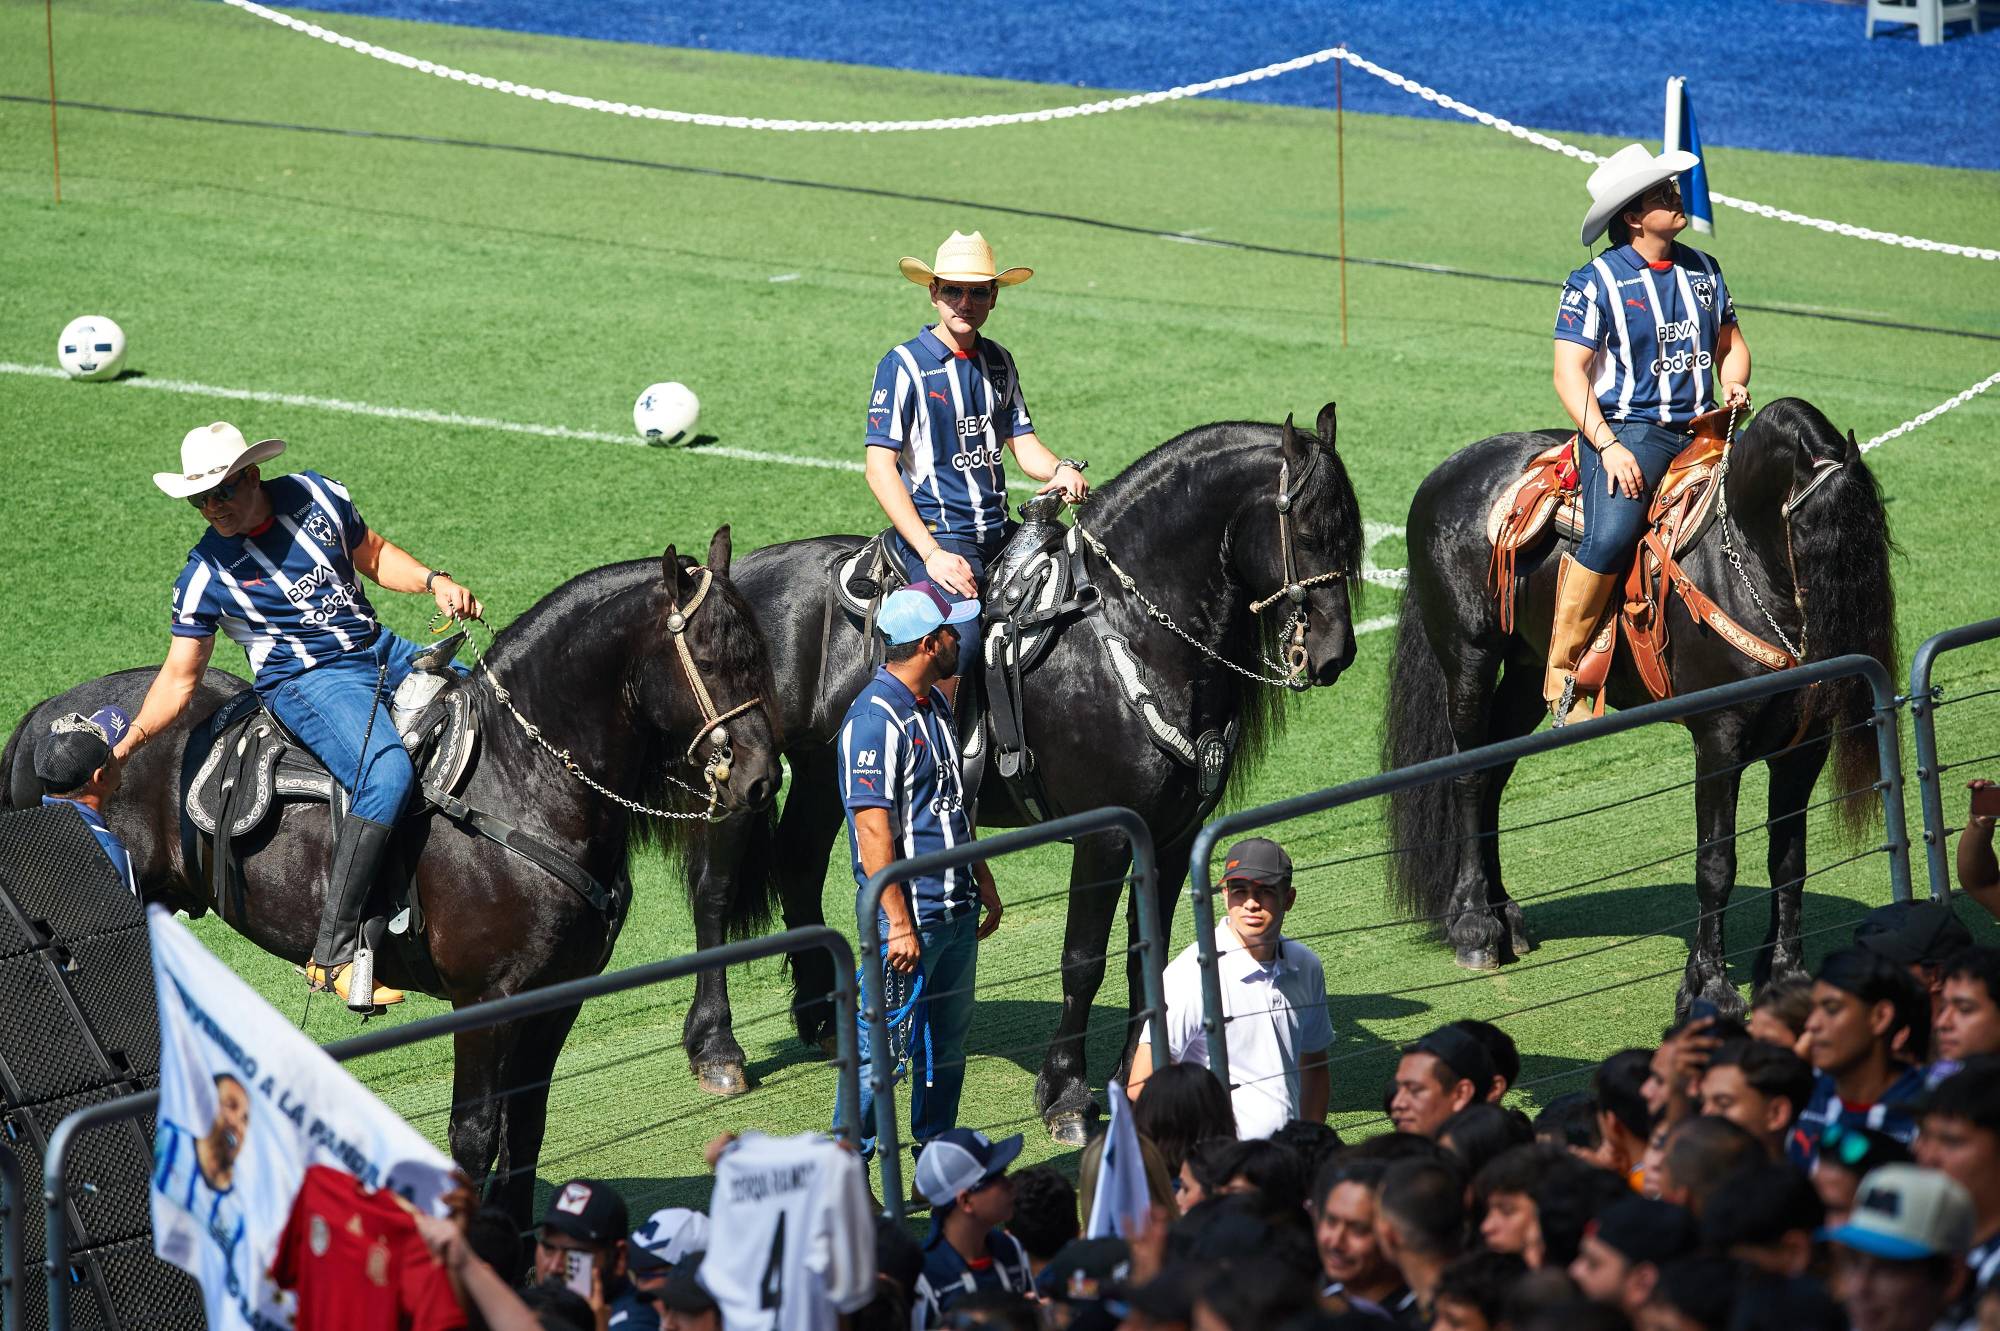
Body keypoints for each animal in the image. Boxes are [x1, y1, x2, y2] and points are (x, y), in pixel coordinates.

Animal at [0, 527, 780, 1215]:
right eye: (711, 658)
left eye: (759, 655)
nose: (761, 779)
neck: (522, 782)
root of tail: (46, 713)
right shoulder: (487, 1001)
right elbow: (475, 1136)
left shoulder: (560, 995)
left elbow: (526, 1130)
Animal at [672, 401, 1360, 1127]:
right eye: (1309, 530)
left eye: (1350, 533)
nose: (1335, 651)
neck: (1130, 632)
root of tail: (733, 578)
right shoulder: (1104, 831)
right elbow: (1084, 958)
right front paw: (1065, 1092)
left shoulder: (1173, 834)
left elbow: (1148, 949)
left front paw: (1139, 1074)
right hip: (742, 771)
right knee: (715, 892)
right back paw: (716, 1047)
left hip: (824, 772)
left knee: (799, 866)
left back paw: (825, 1020)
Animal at [1384, 399, 1896, 1011]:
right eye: (1812, 534)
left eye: (1871, 537)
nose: (1837, 658)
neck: (1743, 571)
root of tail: (1443, 474)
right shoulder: (1719, 739)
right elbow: (1716, 864)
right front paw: (1710, 985)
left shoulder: (1805, 744)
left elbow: (1789, 861)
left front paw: (1786, 974)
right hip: (1471, 659)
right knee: (1468, 777)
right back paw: (1474, 925)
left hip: (1530, 672)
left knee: (1494, 775)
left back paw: (1505, 916)